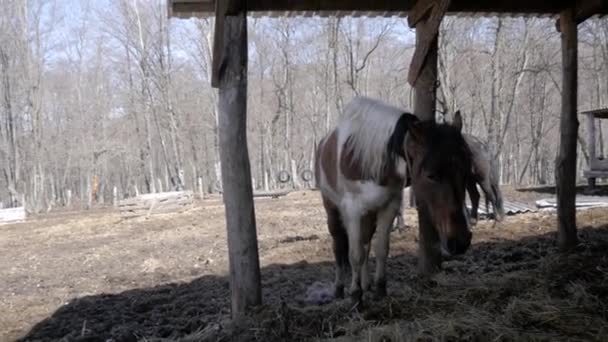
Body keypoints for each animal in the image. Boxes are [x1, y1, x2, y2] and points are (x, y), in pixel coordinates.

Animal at [314, 97, 476, 304]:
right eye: (431, 175)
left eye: (466, 171)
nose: (460, 241)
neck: (367, 157)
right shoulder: (353, 210)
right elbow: (354, 254)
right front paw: (355, 295)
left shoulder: (388, 206)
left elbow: (380, 248)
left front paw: (379, 289)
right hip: (332, 209)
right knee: (340, 248)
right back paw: (339, 288)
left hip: (370, 214)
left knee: (366, 243)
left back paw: (366, 284)